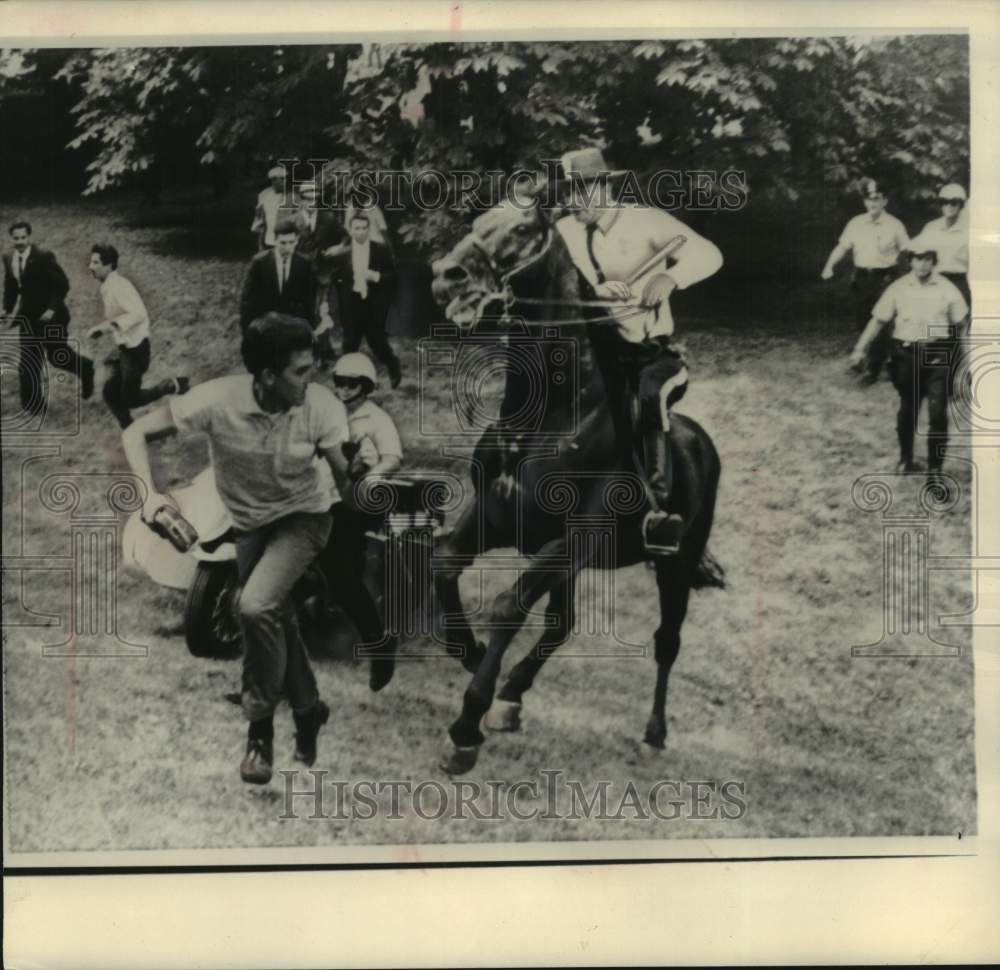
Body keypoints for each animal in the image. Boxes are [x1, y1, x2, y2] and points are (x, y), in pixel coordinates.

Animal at [430, 195, 728, 772]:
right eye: (479, 221)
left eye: (523, 228)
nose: (446, 276)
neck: (548, 415)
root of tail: (701, 444)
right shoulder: (497, 518)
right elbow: (445, 564)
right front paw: (471, 655)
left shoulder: (573, 540)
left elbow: (507, 606)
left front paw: (465, 727)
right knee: (561, 623)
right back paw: (512, 697)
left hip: (675, 564)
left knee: (667, 641)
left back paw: (653, 734)